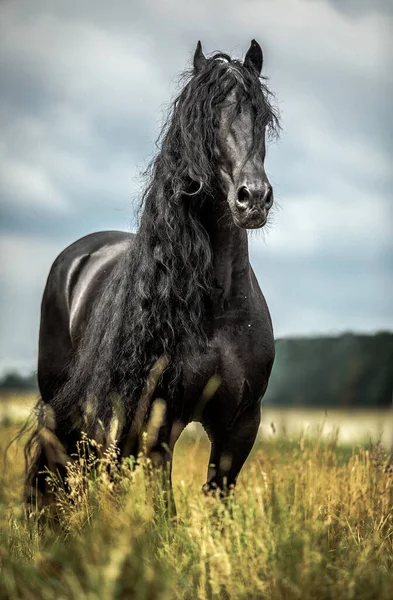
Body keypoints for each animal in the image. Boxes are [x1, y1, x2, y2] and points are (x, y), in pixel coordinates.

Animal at [25, 38, 278, 506]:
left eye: (261, 117)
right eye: (206, 119)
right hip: (63, 407)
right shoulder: (159, 428)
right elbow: (166, 510)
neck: (219, 307)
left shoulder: (238, 428)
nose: (253, 198)